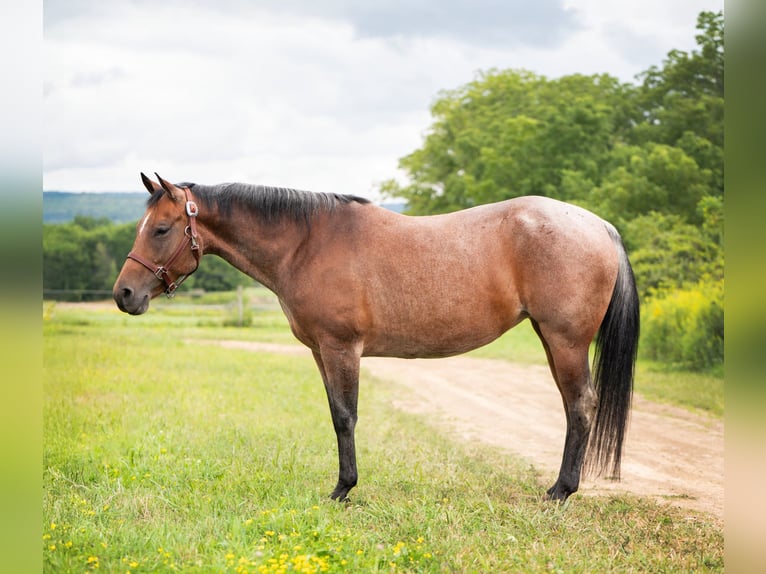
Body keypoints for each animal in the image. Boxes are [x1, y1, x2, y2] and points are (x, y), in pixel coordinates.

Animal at [113, 173, 639, 502]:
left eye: (161, 229)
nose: (124, 294)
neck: (307, 243)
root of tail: (600, 225)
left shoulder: (341, 347)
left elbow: (346, 418)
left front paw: (343, 490)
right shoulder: (321, 352)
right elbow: (335, 415)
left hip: (565, 340)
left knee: (581, 406)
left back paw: (561, 492)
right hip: (551, 340)